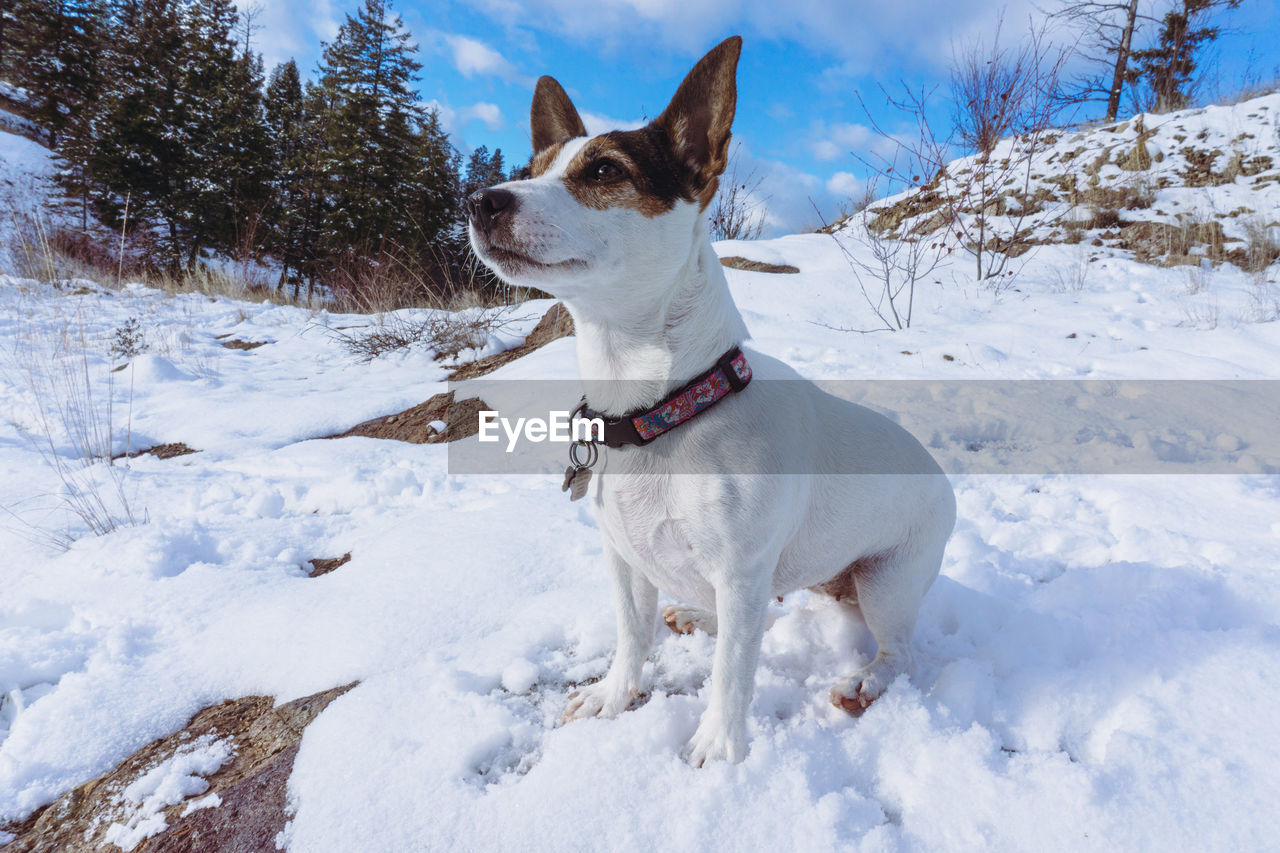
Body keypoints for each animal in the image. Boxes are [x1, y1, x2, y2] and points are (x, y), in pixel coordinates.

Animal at [465, 34, 957, 763]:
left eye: (604, 170)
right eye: (532, 168)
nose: (480, 200)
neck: (662, 408)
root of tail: (941, 474)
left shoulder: (743, 568)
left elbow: (732, 672)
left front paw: (719, 748)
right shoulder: (625, 561)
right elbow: (633, 635)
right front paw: (612, 697)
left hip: (886, 580)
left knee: (895, 652)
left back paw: (864, 683)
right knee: (769, 615)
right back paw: (700, 614)